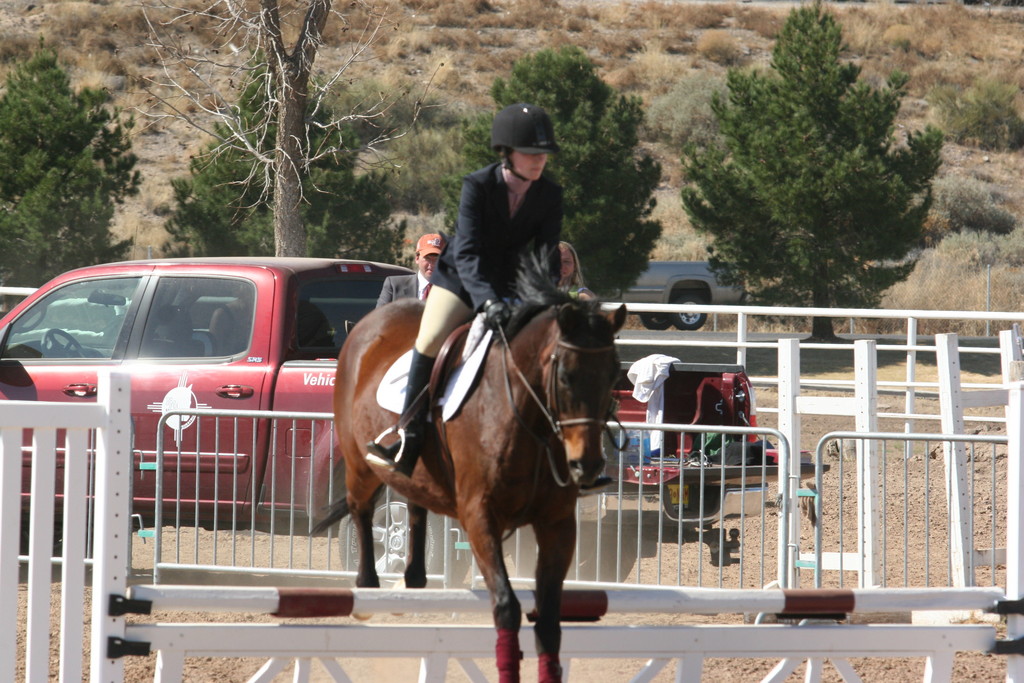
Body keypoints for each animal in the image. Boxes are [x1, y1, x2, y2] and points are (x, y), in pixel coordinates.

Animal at [315, 259, 626, 679]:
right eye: (565, 377)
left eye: (614, 374)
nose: (588, 465)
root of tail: (364, 326)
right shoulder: (479, 515)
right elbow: (507, 606)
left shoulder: (558, 522)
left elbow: (549, 620)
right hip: (358, 462)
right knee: (360, 509)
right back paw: (367, 589)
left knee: (414, 505)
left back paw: (413, 580)